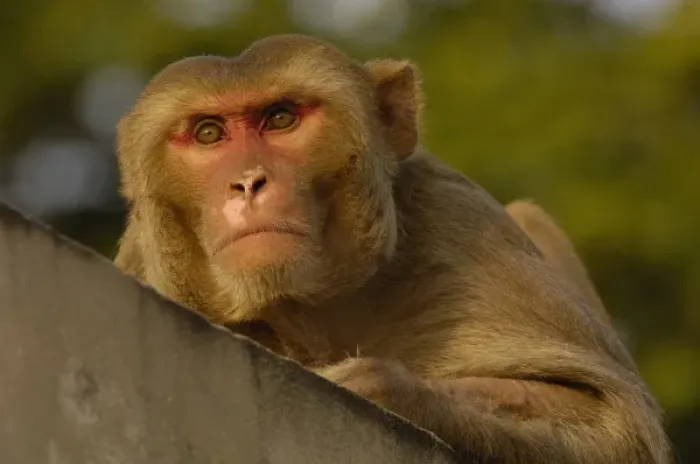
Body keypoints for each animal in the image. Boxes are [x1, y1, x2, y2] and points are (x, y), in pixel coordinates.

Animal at [113, 34, 671, 462]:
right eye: (209, 133)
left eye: (281, 118)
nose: (249, 182)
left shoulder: (461, 226)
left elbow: (616, 424)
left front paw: (381, 386)